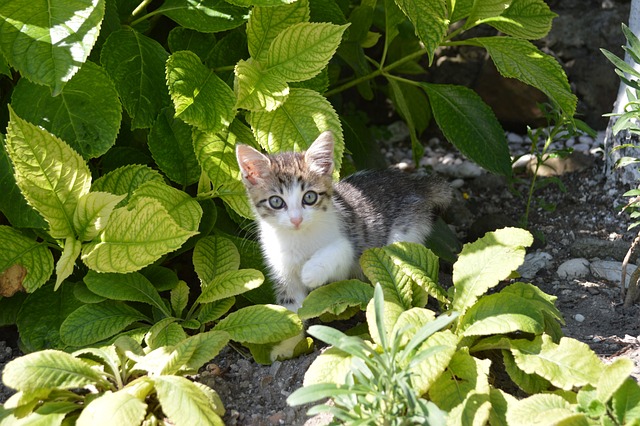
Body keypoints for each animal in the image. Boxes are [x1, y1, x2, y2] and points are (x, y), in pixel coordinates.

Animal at [235, 131, 450, 312]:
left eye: (309, 197)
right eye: (276, 202)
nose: (296, 219)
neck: (298, 238)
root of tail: (414, 183)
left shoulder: (350, 244)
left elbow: (338, 251)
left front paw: (310, 272)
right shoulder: (283, 272)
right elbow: (291, 310)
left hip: (403, 236)